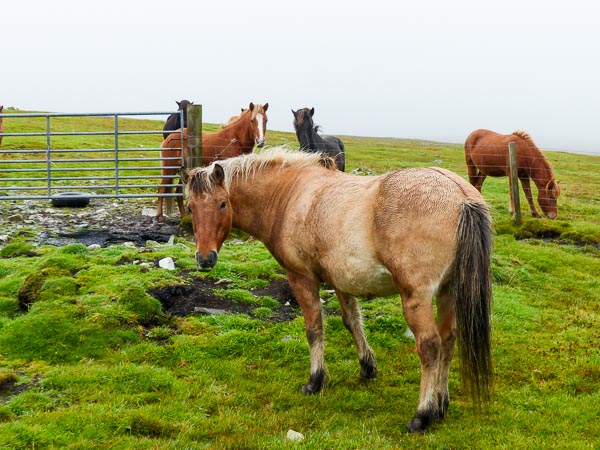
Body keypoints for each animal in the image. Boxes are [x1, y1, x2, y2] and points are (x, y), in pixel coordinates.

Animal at [181, 147, 494, 433]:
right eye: (190, 207)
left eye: (223, 204)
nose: (204, 259)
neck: (289, 195)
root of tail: (461, 197)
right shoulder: (342, 281)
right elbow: (352, 322)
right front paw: (367, 368)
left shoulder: (302, 278)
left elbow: (314, 328)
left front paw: (315, 380)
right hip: (447, 291)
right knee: (449, 339)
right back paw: (441, 404)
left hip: (417, 296)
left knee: (430, 346)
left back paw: (423, 415)